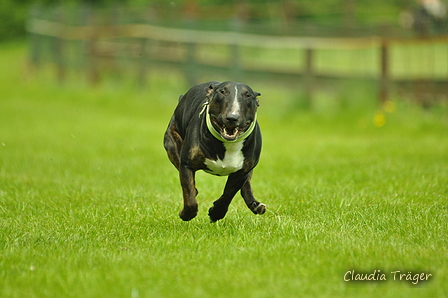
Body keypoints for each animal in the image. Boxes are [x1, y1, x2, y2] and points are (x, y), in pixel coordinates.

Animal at [164, 81, 266, 221]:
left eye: (248, 95)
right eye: (222, 92)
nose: (232, 117)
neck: (227, 144)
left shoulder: (241, 172)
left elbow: (228, 195)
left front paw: (216, 212)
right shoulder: (186, 164)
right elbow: (189, 195)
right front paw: (186, 214)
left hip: (248, 169)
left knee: (246, 185)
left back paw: (255, 205)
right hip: (171, 143)